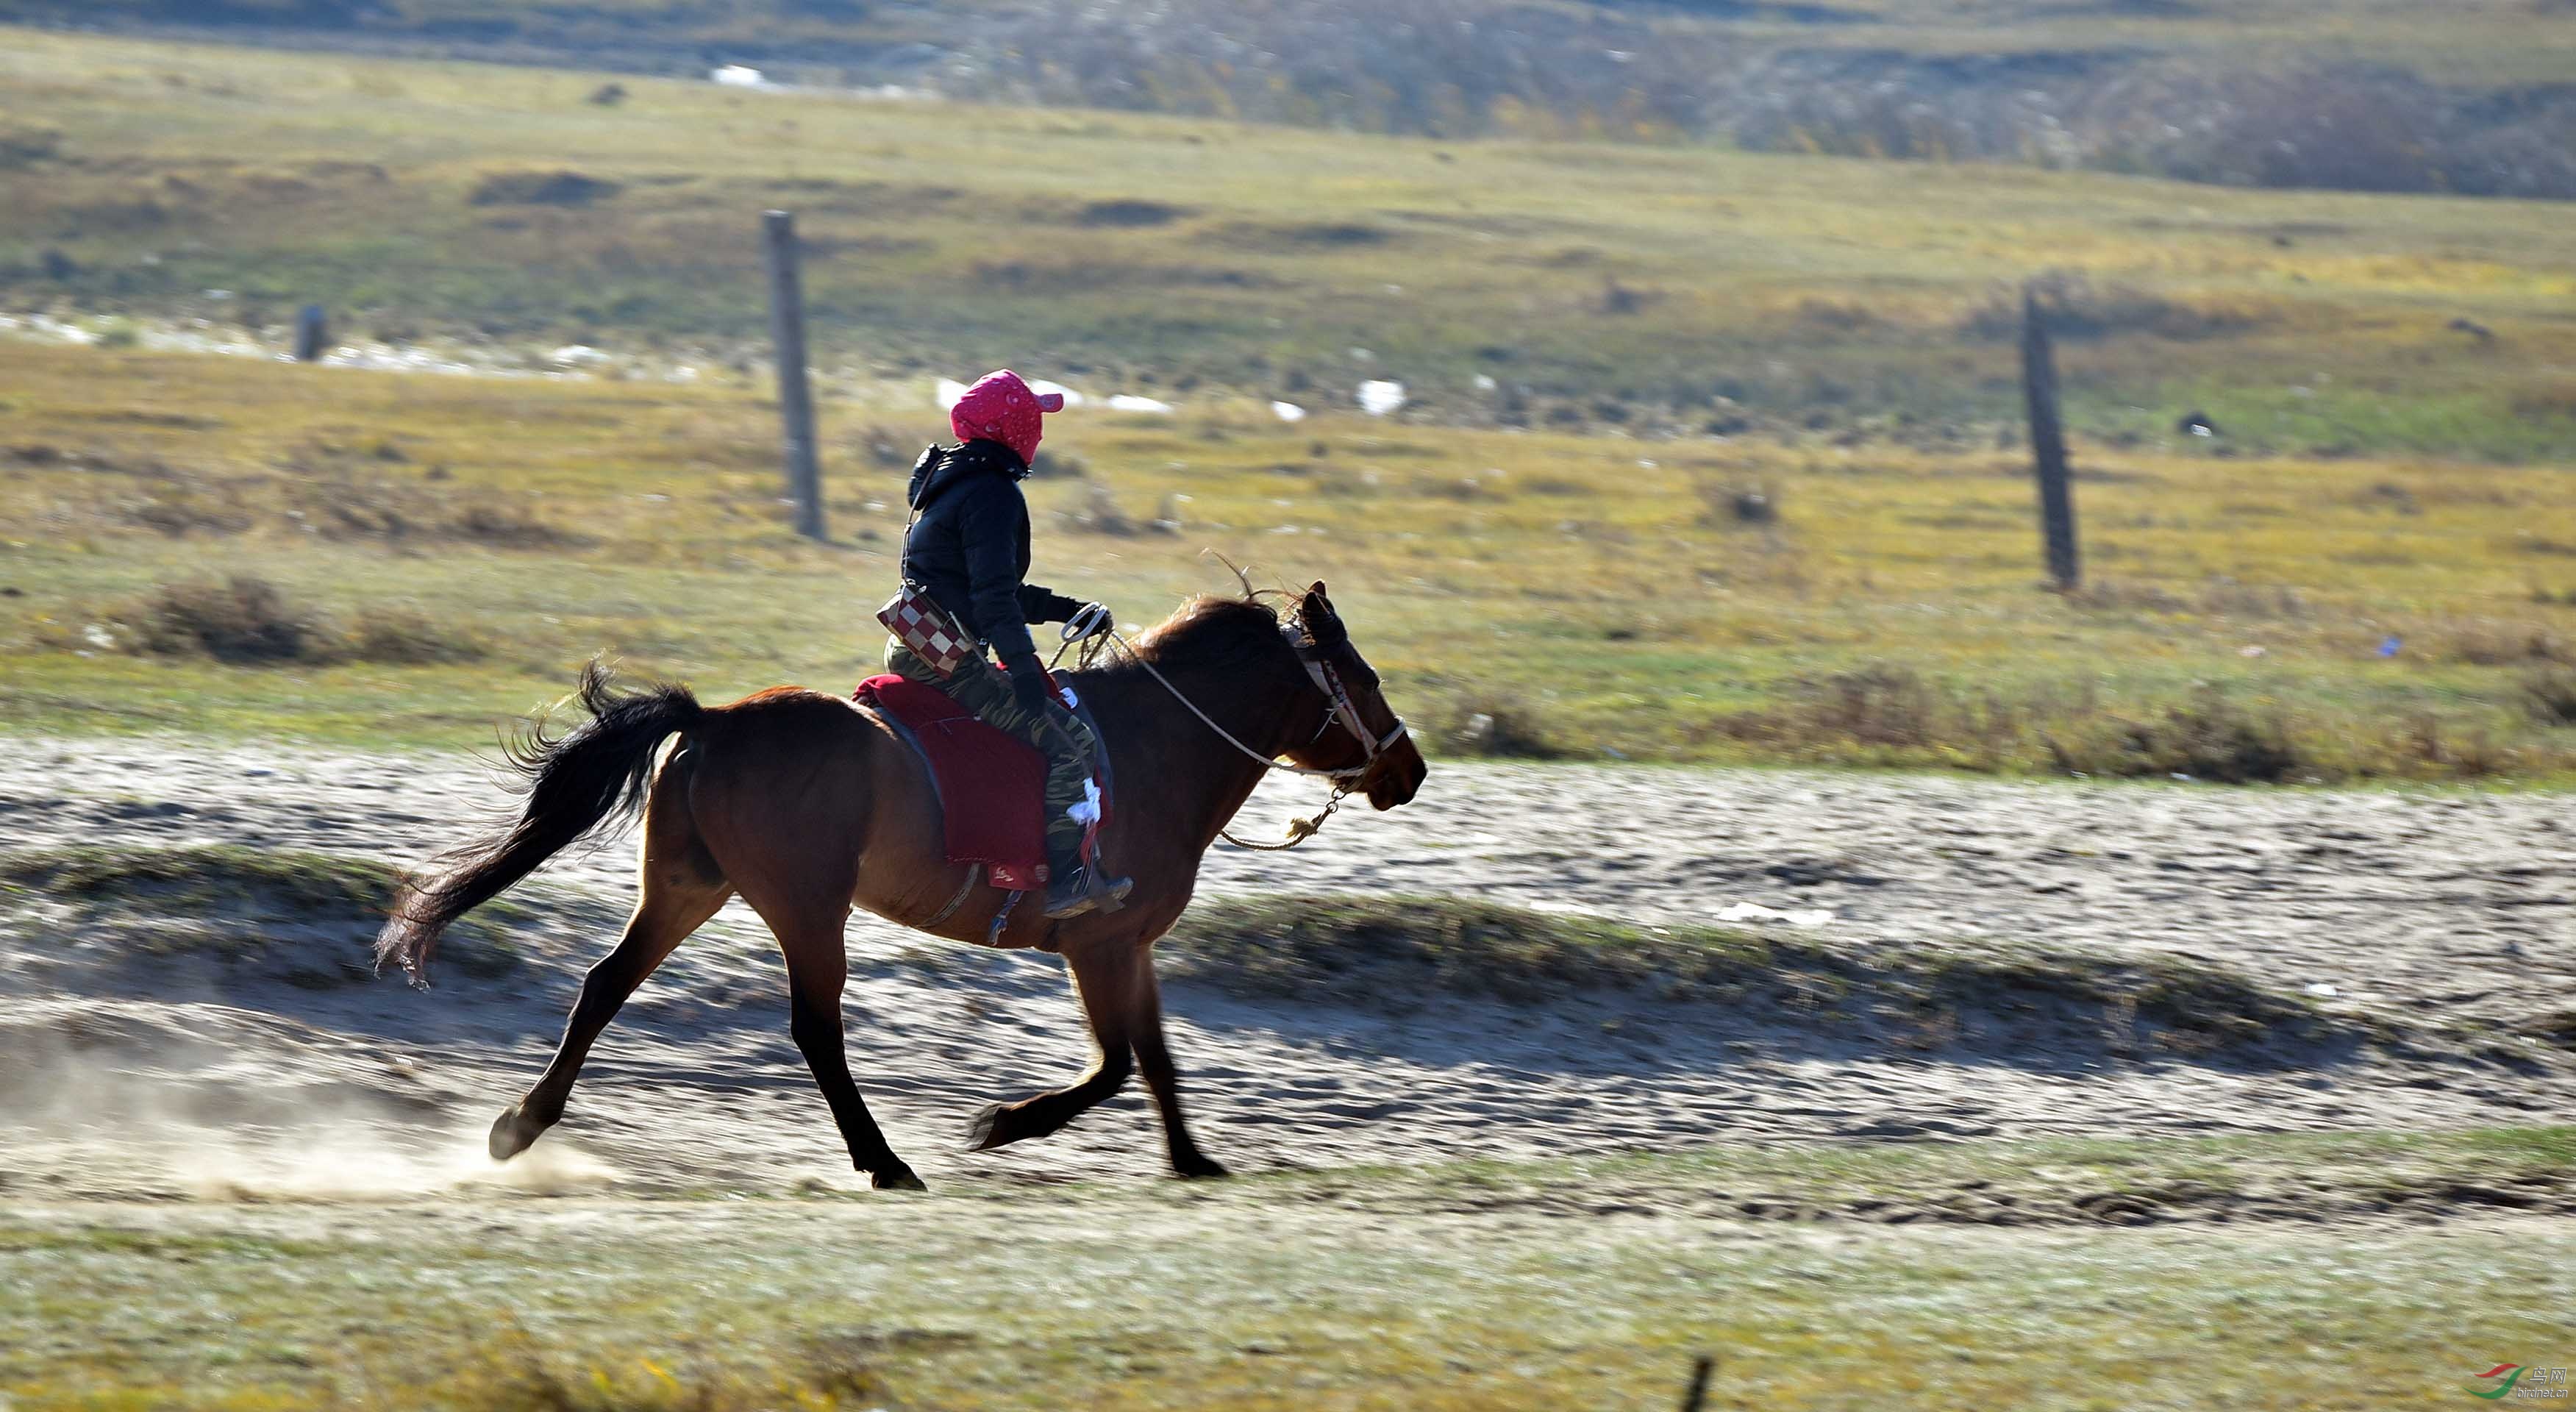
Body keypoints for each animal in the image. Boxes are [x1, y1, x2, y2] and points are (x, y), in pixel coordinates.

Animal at [376, 585, 1432, 1190]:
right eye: (1364, 675)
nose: (1408, 770)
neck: (1152, 753)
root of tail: (715, 720)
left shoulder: (1130, 949)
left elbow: (1156, 1061)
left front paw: (1191, 1160)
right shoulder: (1098, 944)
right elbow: (1115, 1065)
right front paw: (1006, 1124)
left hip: (687, 888)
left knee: (603, 987)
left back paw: (520, 1126)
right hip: (808, 908)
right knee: (815, 1029)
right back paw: (884, 1161)